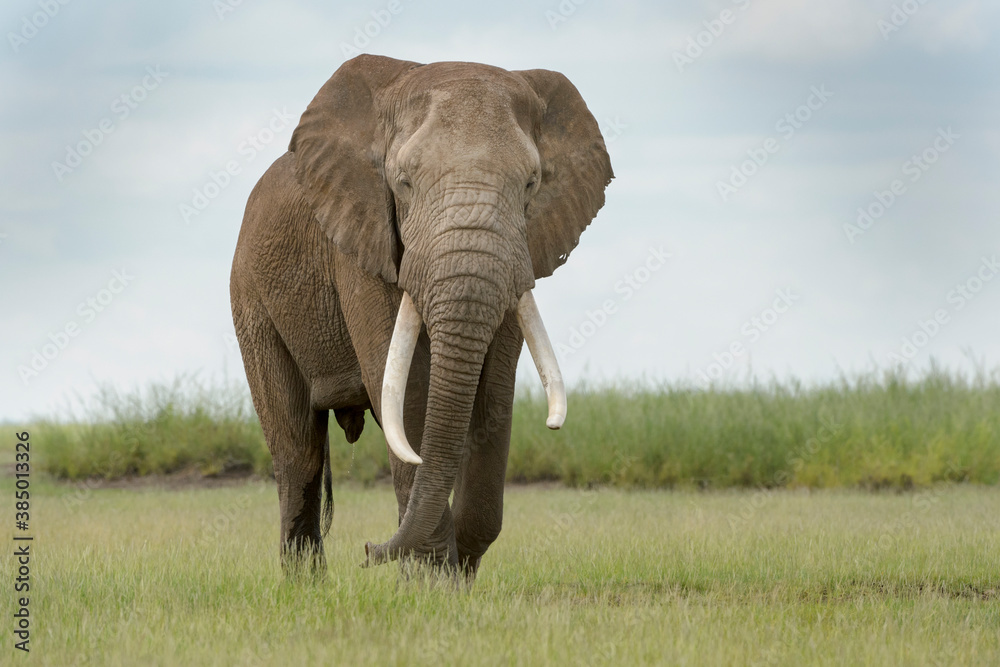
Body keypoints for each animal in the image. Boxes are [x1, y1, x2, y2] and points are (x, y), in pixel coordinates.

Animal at [230, 54, 612, 578]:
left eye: (531, 184)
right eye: (404, 184)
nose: (367, 551)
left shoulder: (522, 255)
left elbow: (494, 395)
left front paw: (454, 581)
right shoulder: (360, 242)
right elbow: (407, 392)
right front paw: (428, 583)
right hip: (251, 300)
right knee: (297, 450)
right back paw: (304, 588)